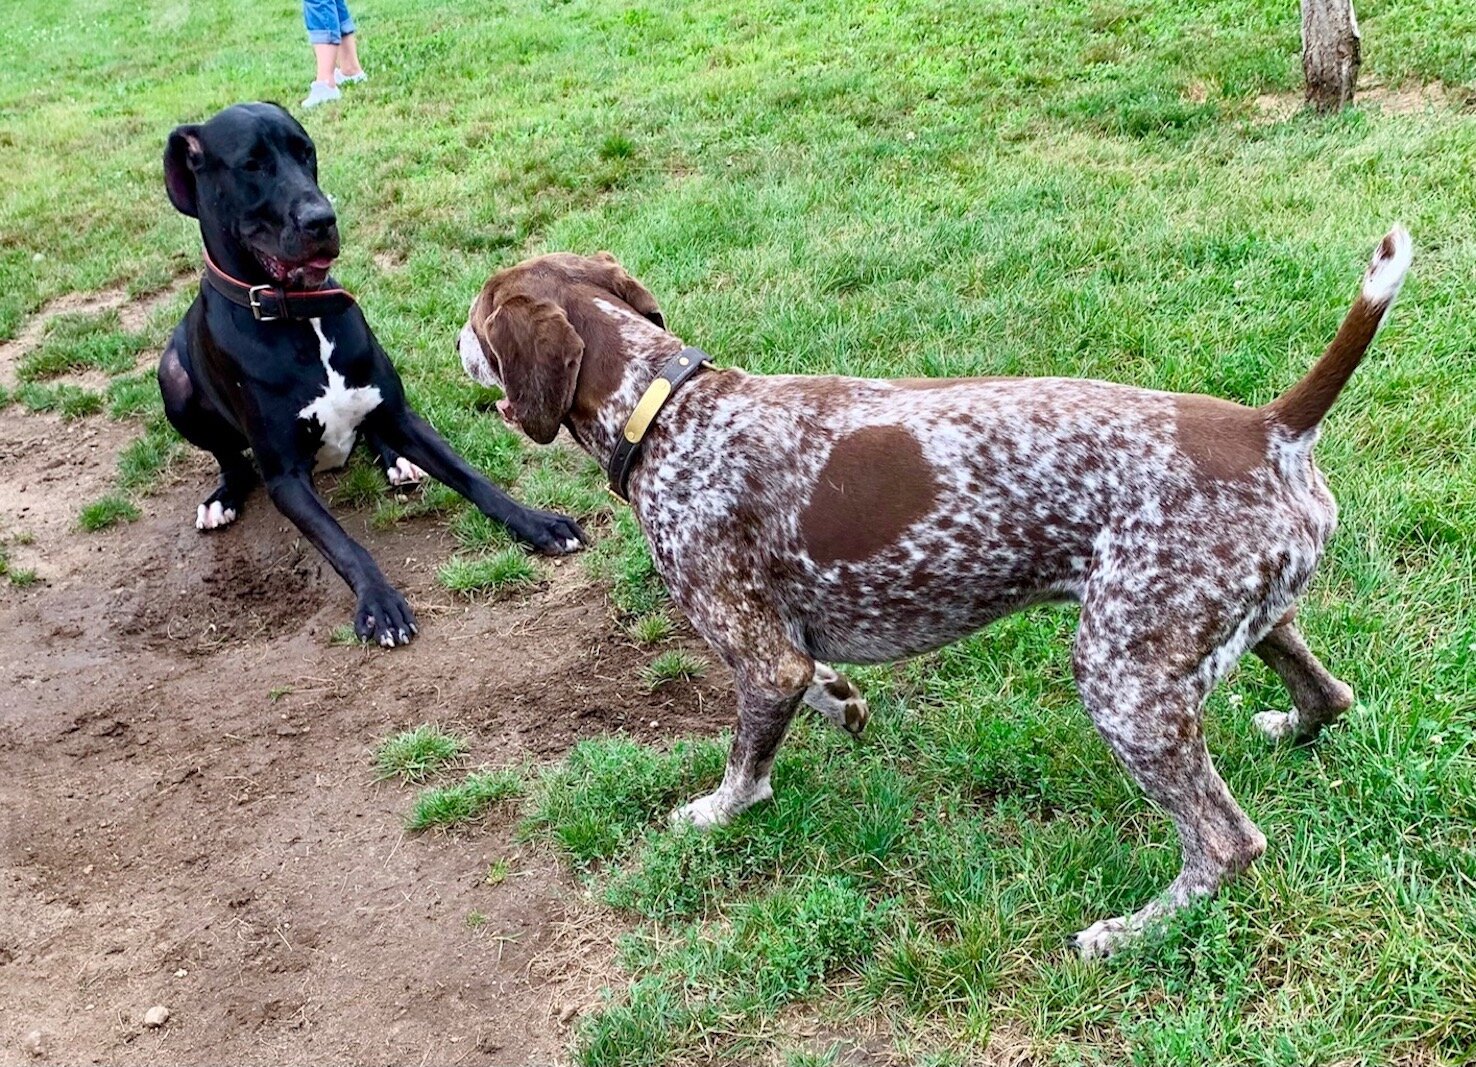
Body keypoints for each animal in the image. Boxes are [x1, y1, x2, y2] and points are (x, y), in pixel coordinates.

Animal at [155, 104, 581, 646]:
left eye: (306, 151)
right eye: (251, 165)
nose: (322, 218)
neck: (300, 317)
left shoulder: (402, 415)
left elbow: (473, 477)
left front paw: (537, 523)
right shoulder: (285, 478)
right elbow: (343, 544)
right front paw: (379, 602)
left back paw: (396, 461)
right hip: (172, 379)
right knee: (229, 458)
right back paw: (221, 497)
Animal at [454, 230, 1411, 956]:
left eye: (476, 317)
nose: (450, 343)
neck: (663, 406)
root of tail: (1269, 426)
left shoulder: (758, 656)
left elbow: (744, 763)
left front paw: (718, 812)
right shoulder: (785, 650)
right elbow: (819, 686)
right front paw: (842, 702)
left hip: (1122, 681)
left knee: (1226, 842)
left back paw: (1129, 930)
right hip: (1234, 627)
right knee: (1329, 695)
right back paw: (1289, 727)